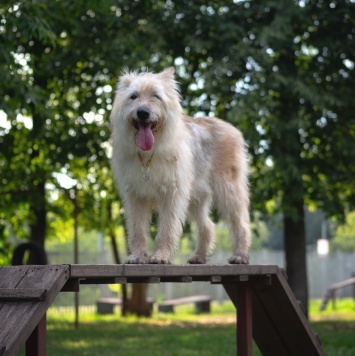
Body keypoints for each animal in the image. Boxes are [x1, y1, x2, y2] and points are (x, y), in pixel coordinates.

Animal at [110, 67, 252, 264]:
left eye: (156, 96)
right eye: (133, 96)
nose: (142, 113)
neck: (148, 155)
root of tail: (233, 129)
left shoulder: (172, 194)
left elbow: (167, 228)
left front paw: (160, 256)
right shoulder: (135, 196)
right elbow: (137, 230)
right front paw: (138, 256)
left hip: (228, 192)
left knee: (241, 224)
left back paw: (240, 255)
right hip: (197, 198)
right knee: (208, 226)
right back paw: (199, 256)